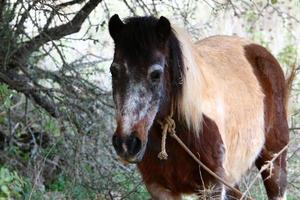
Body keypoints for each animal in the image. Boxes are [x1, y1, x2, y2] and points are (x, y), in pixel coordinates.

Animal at [109, 14, 290, 200]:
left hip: (274, 163)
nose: (127, 144)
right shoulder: (159, 188)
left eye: (156, 74)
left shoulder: (213, 187)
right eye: (113, 71)